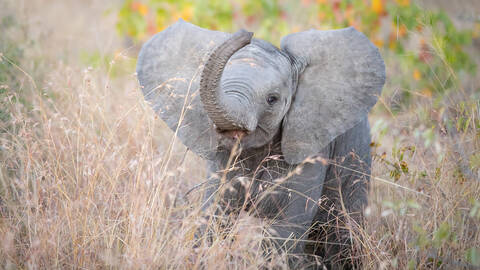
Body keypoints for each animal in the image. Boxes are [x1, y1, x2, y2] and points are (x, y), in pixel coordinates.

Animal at [137, 19, 384, 268]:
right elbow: (215, 215)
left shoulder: (309, 145)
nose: (246, 34)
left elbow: (286, 228)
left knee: (341, 236)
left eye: (272, 99)